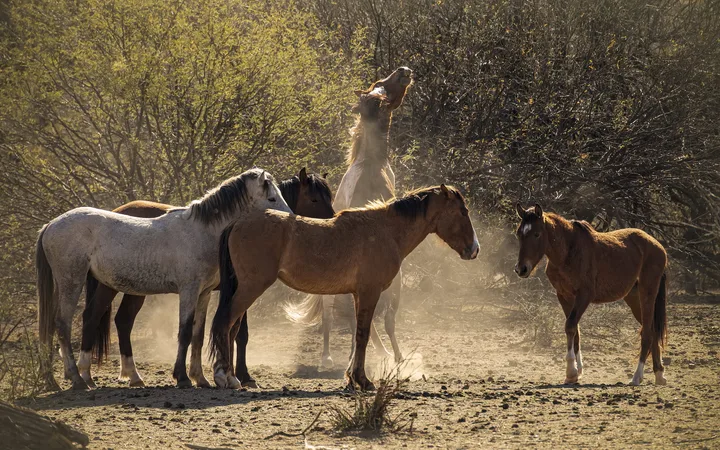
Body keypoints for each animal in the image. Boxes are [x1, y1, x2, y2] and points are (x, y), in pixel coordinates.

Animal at [36, 168, 291, 390]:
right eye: (271, 197)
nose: (288, 220)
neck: (201, 232)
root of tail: (50, 225)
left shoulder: (204, 293)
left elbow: (198, 335)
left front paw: (200, 378)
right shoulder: (188, 290)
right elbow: (185, 331)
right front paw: (182, 378)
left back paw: (86, 377)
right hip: (72, 281)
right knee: (63, 324)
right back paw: (77, 378)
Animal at [211, 185, 479, 391]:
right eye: (462, 212)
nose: (474, 249)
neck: (385, 230)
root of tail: (237, 223)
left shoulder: (358, 294)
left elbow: (359, 334)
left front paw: (352, 378)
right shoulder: (370, 292)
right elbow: (363, 334)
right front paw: (363, 380)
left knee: (231, 328)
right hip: (250, 289)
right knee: (225, 323)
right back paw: (229, 378)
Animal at [285, 67, 413, 369]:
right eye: (380, 84)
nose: (403, 71)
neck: (371, 166)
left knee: (374, 318)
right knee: (334, 314)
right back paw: (329, 358)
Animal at [513, 204, 668, 386]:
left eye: (537, 234)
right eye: (519, 233)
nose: (521, 269)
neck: (568, 253)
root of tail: (658, 246)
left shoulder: (584, 296)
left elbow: (570, 326)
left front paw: (571, 372)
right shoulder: (564, 296)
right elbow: (575, 330)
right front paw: (577, 372)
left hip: (647, 294)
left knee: (647, 334)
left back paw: (637, 377)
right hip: (634, 299)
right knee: (652, 330)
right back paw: (659, 374)